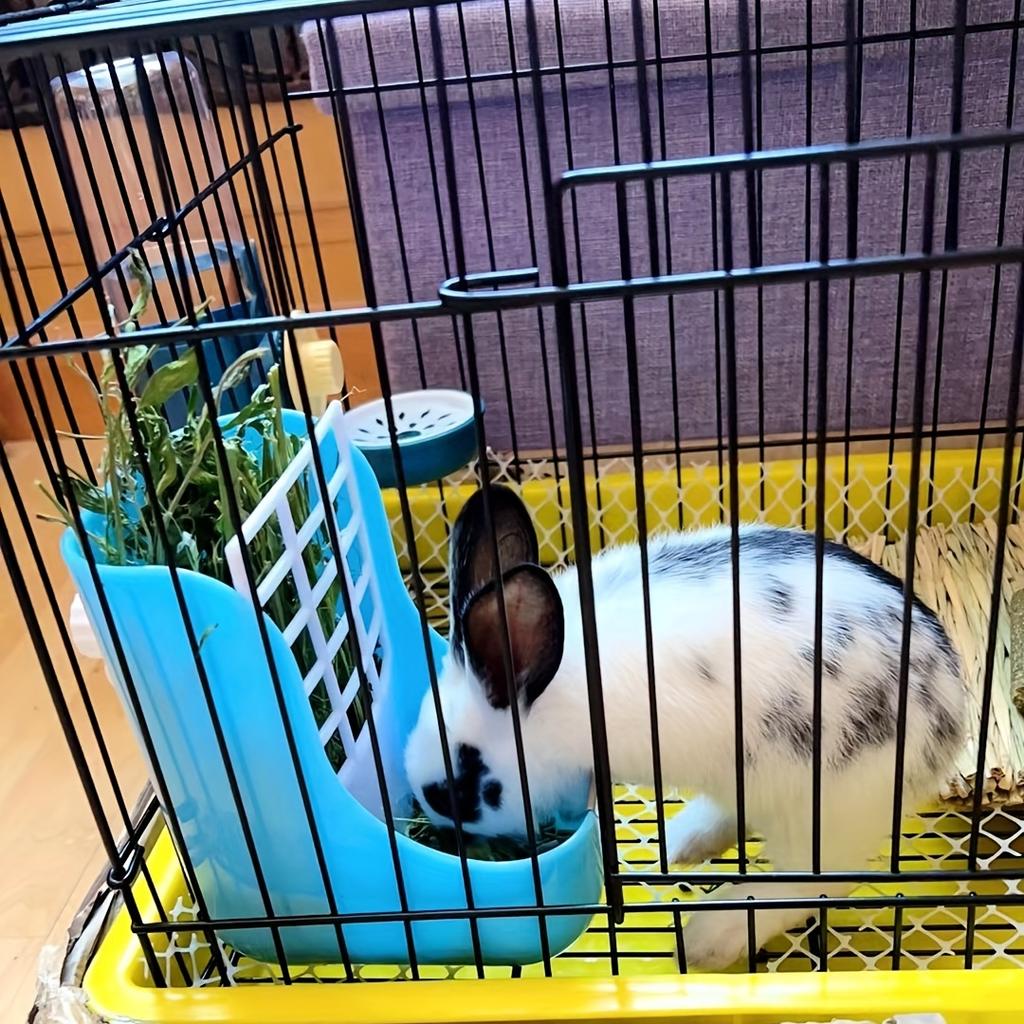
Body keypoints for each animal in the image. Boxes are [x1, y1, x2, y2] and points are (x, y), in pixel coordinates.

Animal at [404, 484, 966, 971]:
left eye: (460, 788)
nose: (439, 826)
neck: (548, 696)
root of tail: (949, 716)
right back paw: (679, 842)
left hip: (822, 802)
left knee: (814, 881)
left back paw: (710, 937)